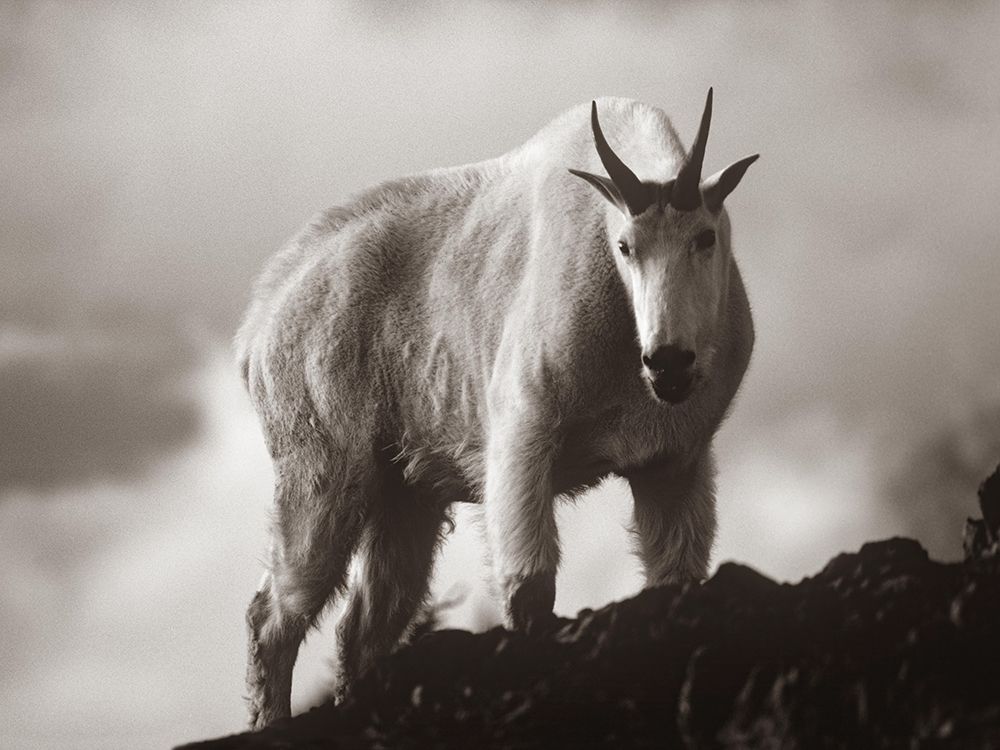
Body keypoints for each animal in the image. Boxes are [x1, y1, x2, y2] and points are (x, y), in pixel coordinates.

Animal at [237, 91, 757, 728]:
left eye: (705, 238)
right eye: (625, 247)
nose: (669, 363)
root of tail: (259, 329)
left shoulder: (673, 465)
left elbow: (676, 579)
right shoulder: (523, 439)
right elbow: (530, 587)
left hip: (404, 494)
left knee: (363, 628)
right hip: (322, 473)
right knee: (274, 616)